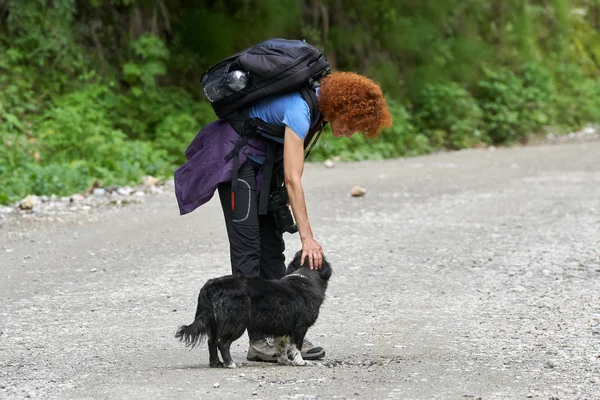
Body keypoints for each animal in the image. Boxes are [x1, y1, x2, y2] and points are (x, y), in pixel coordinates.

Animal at [173, 250, 332, 368]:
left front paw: (284, 361)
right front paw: (300, 362)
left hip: (214, 324)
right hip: (236, 323)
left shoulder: (282, 327)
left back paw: (216, 363)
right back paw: (230, 364)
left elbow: (281, 347)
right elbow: (296, 346)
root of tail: (210, 286)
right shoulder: (300, 327)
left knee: (211, 342)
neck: (305, 277)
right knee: (222, 344)